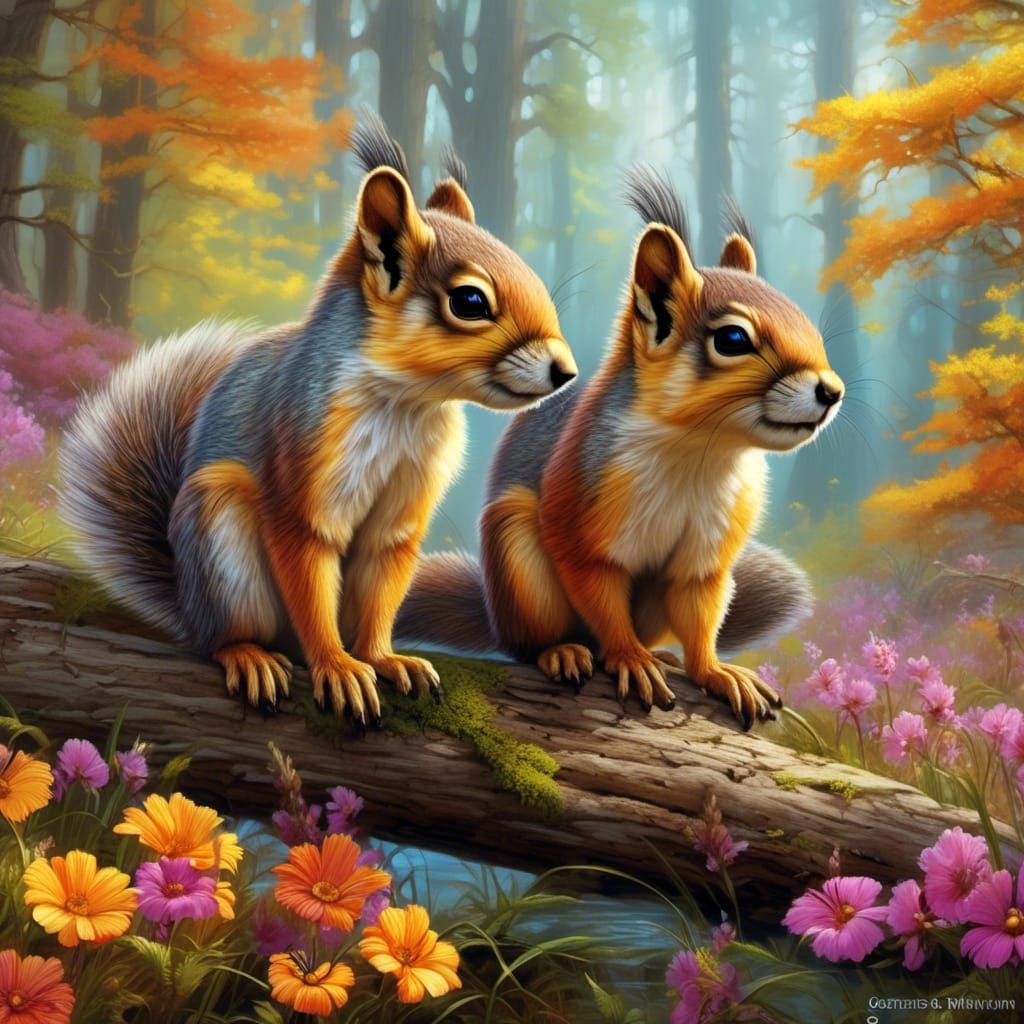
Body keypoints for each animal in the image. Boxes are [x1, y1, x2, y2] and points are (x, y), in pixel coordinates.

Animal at [59, 112, 577, 727]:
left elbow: (383, 579)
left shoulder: (403, 509)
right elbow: (308, 571)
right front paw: (336, 666)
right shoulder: (300, 475)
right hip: (219, 532)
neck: (407, 402)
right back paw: (251, 655)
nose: (567, 372)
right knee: (227, 637)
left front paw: (383, 658)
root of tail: (188, 602)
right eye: (470, 302)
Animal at [396, 166, 843, 730]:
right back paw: (565, 651)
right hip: (516, 552)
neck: (701, 451)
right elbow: (600, 596)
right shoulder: (580, 514)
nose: (832, 391)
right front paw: (629, 658)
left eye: (805, 321)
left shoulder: (707, 553)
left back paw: (662, 653)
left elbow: (701, 613)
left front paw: (715, 671)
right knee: (531, 642)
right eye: (733, 339)